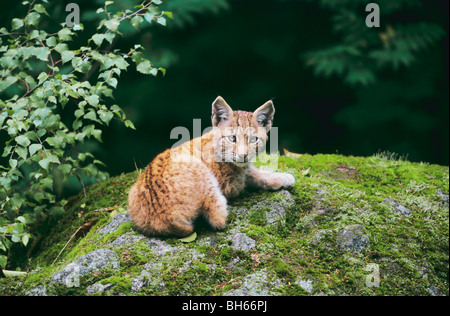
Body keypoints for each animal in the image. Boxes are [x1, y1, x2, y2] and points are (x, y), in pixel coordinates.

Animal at [127, 96, 296, 237]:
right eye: (232, 138)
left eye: (253, 140)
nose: (243, 155)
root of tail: (166, 217)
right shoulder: (231, 183)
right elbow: (250, 174)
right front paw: (281, 176)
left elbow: (251, 171)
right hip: (201, 171)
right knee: (217, 219)